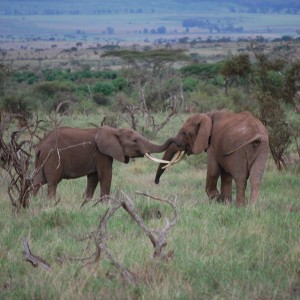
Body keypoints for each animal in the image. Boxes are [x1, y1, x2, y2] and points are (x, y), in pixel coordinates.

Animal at [31, 125, 175, 200]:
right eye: (135, 141)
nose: (174, 139)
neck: (115, 130)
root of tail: (40, 146)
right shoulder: (101, 153)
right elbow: (105, 175)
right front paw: (105, 205)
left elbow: (93, 178)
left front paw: (87, 203)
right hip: (53, 157)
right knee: (52, 182)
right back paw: (52, 203)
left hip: (42, 159)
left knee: (37, 181)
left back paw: (32, 203)